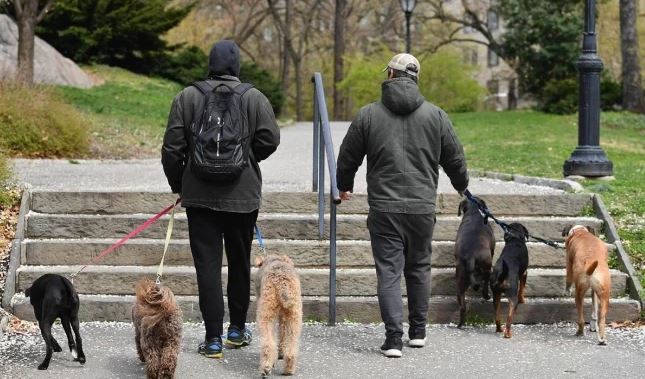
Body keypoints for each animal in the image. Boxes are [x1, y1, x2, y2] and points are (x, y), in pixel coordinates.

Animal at [452, 197, 494, 328]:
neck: (473, 212)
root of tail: (470, 255)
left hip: (460, 280)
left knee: (462, 306)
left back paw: (460, 325)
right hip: (487, 267)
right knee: (486, 282)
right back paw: (486, 295)